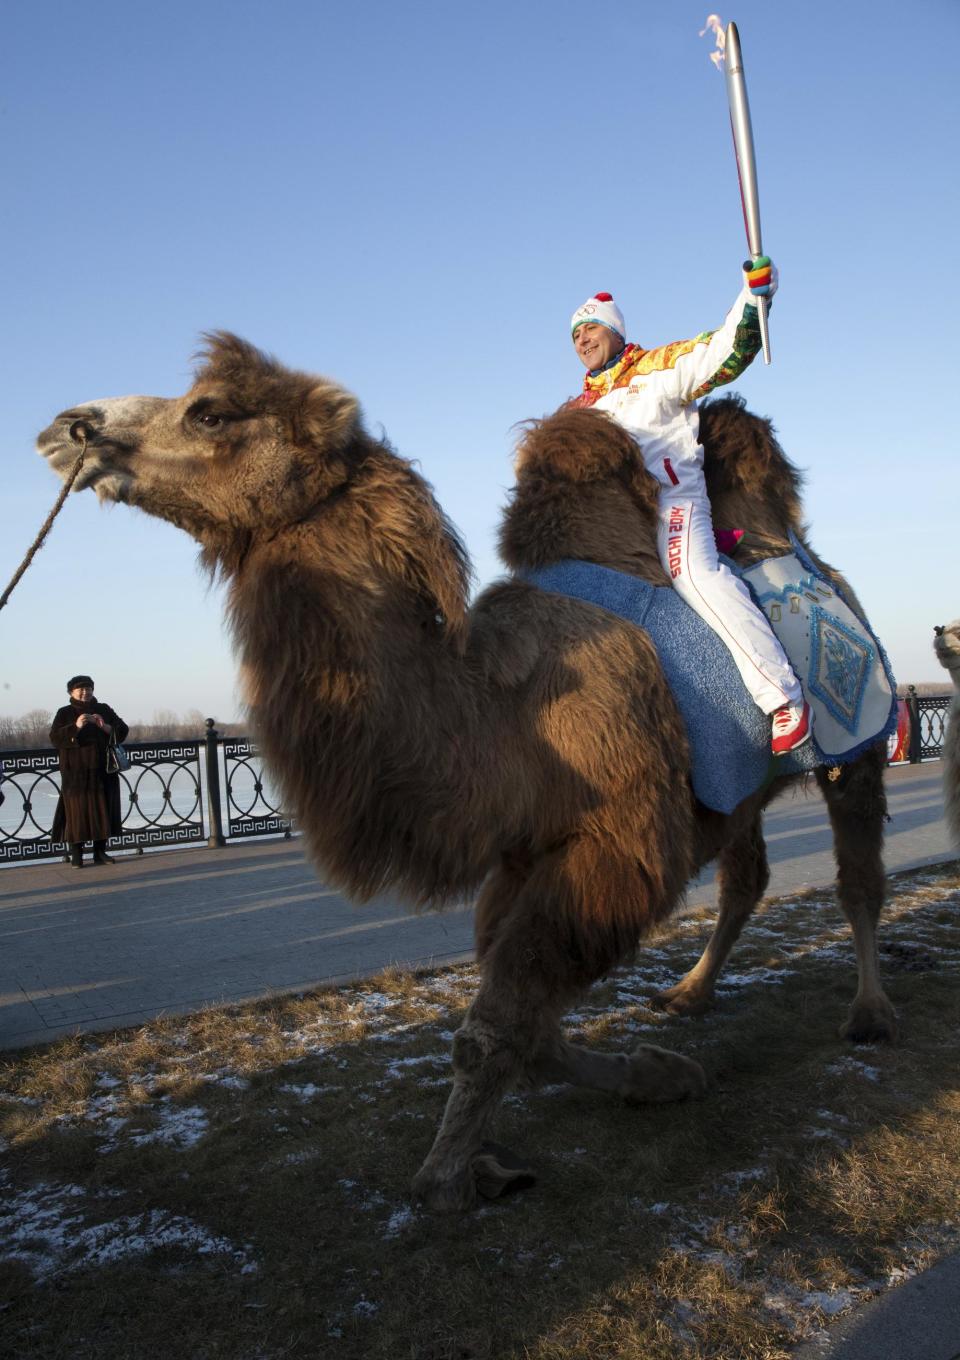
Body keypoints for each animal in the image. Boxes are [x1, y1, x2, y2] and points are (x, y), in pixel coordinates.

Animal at [35, 337, 892, 1213]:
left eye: (209, 412)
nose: (69, 427)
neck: (501, 713)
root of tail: (811, 561)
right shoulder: (522, 853)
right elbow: (526, 1028)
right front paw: (656, 1075)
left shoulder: (613, 849)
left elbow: (493, 1029)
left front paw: (446, 1179)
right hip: (738, 790)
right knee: (746, 877)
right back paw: (691, 994)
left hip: (857, 748)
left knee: (857, 877)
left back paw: (867, 1013)